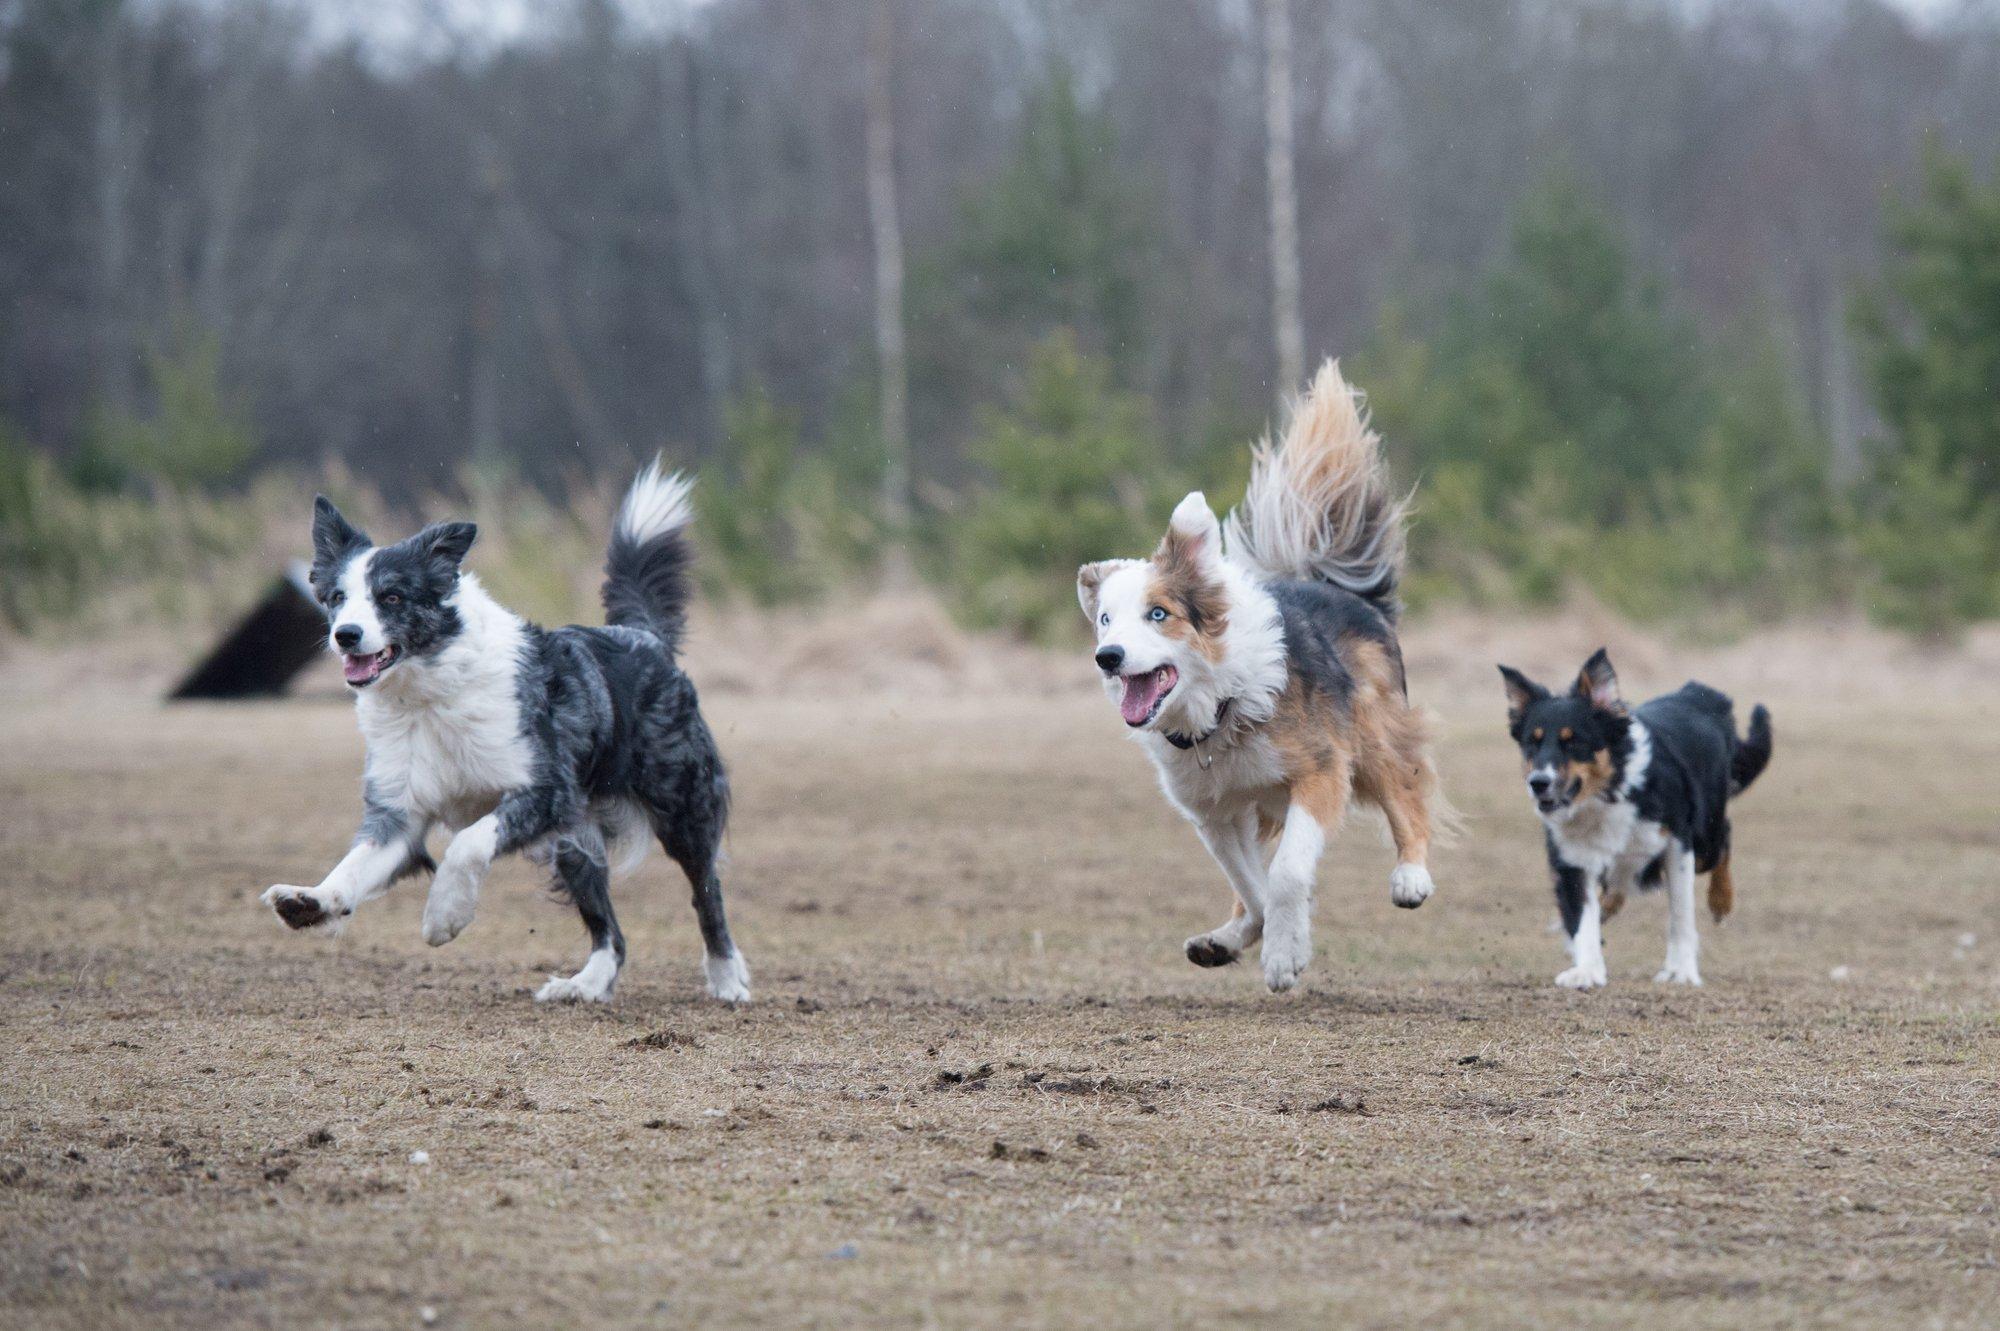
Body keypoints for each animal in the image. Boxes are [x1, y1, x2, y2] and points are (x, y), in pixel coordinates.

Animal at [254, 461, 748, 999]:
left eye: (392, 597)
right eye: (338, 598)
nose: (345, 635)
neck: (428, 696)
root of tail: (642, 636)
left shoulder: (548, 791)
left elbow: (467, 843)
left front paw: (444, 916)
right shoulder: (400, 812)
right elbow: (354, 865)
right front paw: (312, 900)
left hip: (680, 809)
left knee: (707, 892)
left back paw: (727, 978)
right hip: (574, 841)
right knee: (609, 928)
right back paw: (586, 983)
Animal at [1080, 357, 1440, 991]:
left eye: (1158, 614)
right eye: (1105, 620)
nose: (1110, 656)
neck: (1218, 711)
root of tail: (1335, 586)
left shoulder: (1322, 771)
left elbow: (1288, 874)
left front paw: (1283, 956)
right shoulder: (1214, 811)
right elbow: (1252, 885)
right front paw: (1272, 935)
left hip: (1370, 732)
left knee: (1404, 787)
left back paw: (1411, 875)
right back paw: (1223, 940)